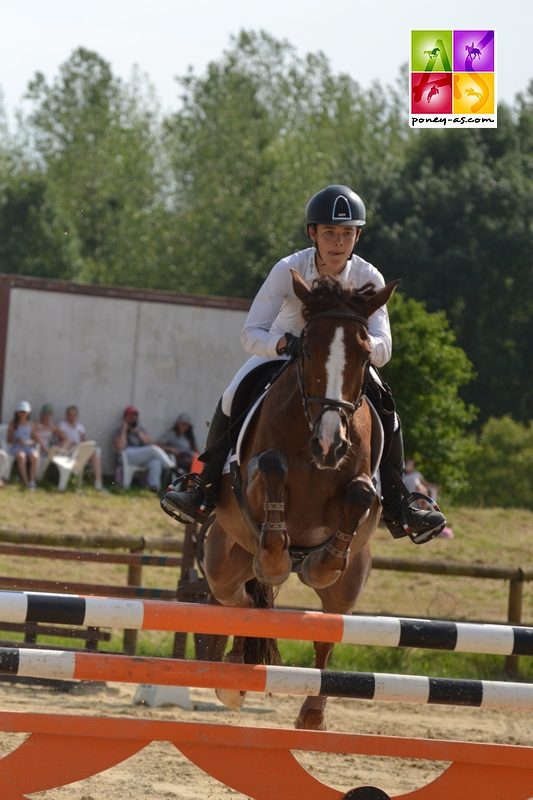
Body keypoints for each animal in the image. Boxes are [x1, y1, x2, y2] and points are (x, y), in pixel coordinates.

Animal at [202, 270, 396, 732]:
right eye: (306, 348)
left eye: (365, 354)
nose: (330, 444)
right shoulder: (254, 482)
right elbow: (272, 466)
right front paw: (275, 559)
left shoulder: (361, 495)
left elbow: (361, 493)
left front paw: (321, 563)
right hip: (223, 561)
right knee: (240, 604)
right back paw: (234, 677)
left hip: (352, 579)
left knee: (329, 627)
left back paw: (312, 712)